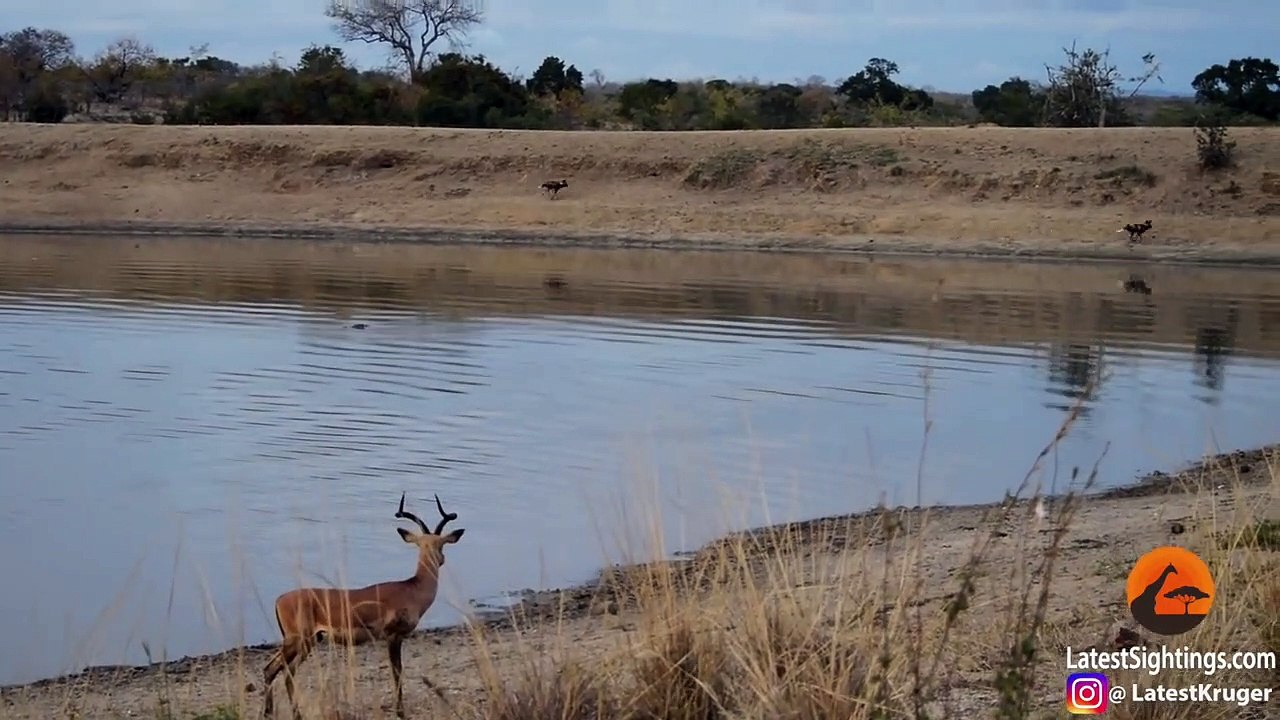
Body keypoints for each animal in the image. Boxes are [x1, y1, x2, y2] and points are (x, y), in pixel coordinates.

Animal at [261, 492, 465, 720]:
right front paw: (400, 712)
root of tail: (279, 600)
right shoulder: (393, 636)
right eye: (440, 544)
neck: (412, 589)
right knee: (273, 670)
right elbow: (397, 672)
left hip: (308, 642)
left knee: (284, 672)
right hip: (297, 641)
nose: (441, 559)